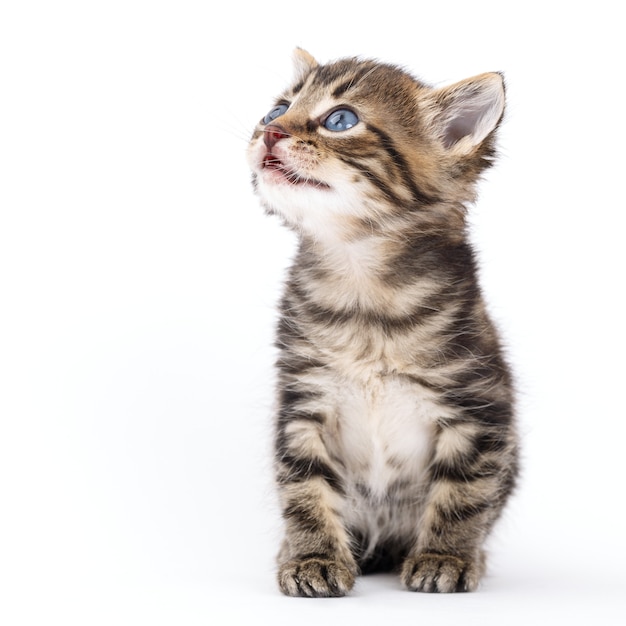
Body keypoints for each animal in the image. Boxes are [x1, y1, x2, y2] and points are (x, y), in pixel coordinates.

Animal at [246, 48, 516, 596]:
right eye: (275, 110)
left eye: (340, 120)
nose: (269, 131)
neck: (362, 286)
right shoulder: (302, 402)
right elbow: (303, 486)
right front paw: (311, 557)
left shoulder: (477, 405)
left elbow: (466, 492)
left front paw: (445, 556)